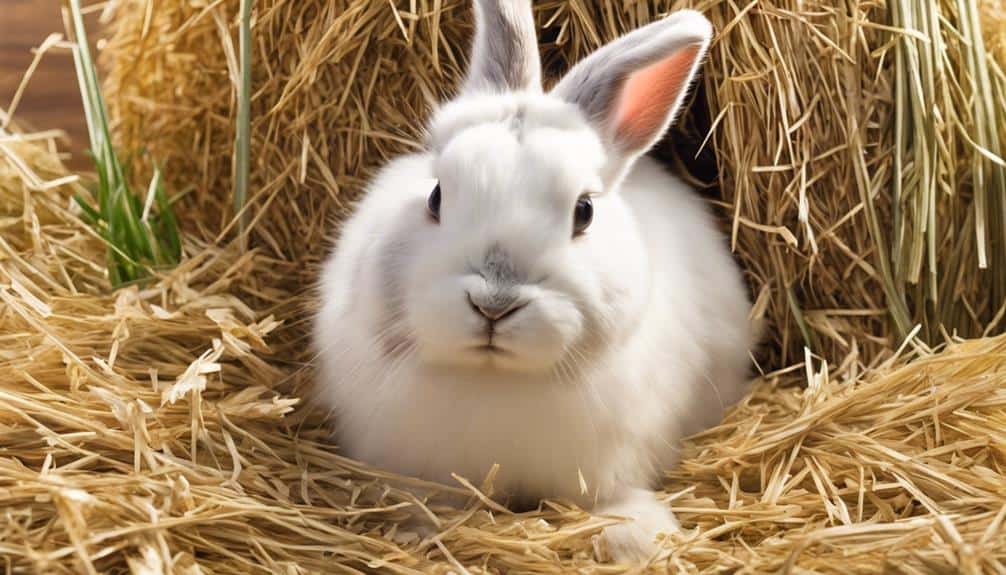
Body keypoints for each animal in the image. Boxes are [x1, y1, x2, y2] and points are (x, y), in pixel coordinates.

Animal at [314, 0, 754, 563]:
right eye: (436, 197)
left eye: (584, 211)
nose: (495, 303)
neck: (495, 379)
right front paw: (415, 528)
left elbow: (617, 501)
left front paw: (638, 540)